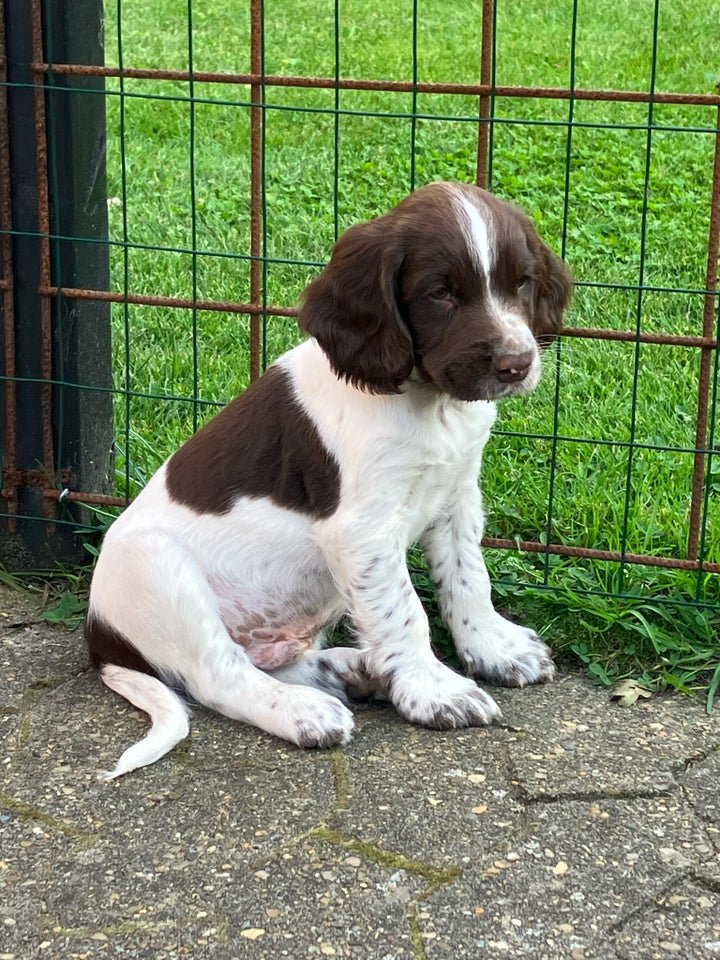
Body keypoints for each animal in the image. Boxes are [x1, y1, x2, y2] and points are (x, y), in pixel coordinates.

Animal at [84, 182, 572, 780]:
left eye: (521, 282)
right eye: (440, 293)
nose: (516, 364)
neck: (428, 403)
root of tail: (101, 639)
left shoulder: (457, 496)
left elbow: (467, 580)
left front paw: (494, 649)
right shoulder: (361, 531)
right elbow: (405, 612)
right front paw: (435, 691)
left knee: (271, 661)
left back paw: (356, 670)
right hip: (159, 570)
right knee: (218, 675)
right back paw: (304, 711)